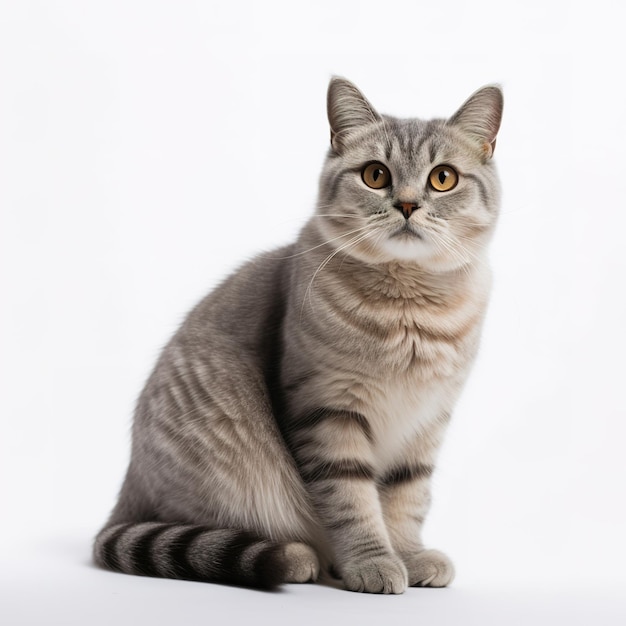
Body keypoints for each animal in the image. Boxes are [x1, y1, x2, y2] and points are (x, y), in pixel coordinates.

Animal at [94, 75, 502, 592]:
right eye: (375, 175)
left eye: (443, 178)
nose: (408, 204)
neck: (408, 310)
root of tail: (126, 490)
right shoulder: (329, 410)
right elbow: (353, 503)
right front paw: (373, 562)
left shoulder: (427, 421)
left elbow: (407, 499)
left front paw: (409, 556)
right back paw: (300, 558)